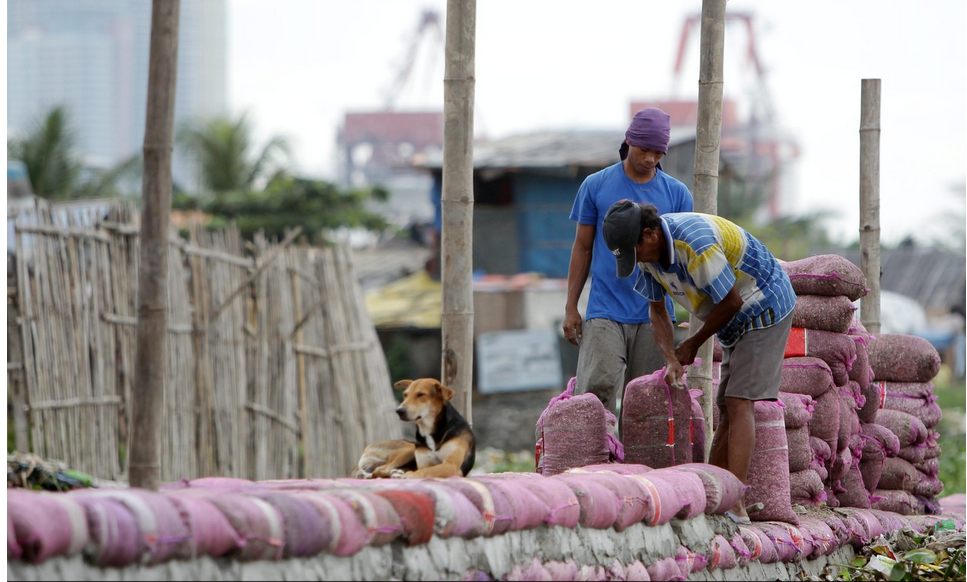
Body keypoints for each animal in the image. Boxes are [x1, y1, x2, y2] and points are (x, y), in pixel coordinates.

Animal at [352, 378, 480, 480]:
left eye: (421, 394)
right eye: (405, 395)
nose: (399, 411)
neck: (429, 430)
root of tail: (367, 448)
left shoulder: (451, 465)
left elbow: (425, 471)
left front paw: (406, 475)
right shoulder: (424, 463)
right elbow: (424, 470)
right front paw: (404, 474)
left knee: (377, 471)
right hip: (409, 448)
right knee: (379, 470)